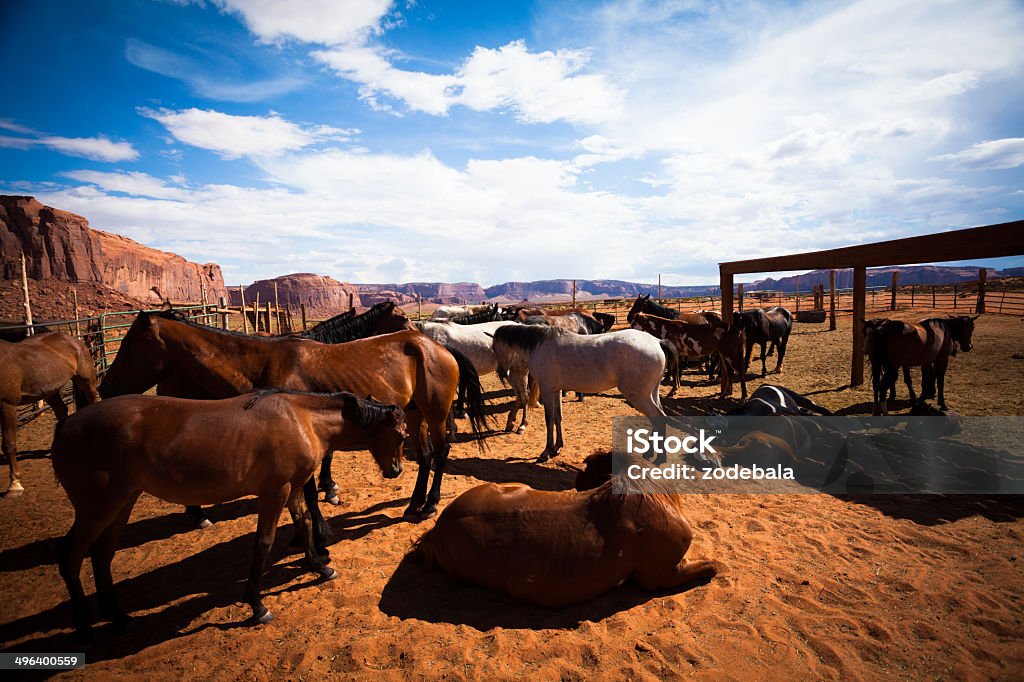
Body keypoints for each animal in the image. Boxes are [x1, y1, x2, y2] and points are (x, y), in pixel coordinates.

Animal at [0, 333, 98, 497]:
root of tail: (72, 339)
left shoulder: (7, 406)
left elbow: (9, 444)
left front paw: (15, 485)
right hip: (50, 391)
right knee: (62, 411)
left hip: (86, 381)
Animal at [51, 387, 403, 638]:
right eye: (401, 435)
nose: (396, 470)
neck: (301, 419)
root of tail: (67, 424)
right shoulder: (275, 492)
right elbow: (264, 543)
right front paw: (257, 606)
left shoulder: (293, 489)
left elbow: (304, 526)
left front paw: (321, 568)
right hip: (98, 507)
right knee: (71, 555)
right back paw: (83, 623)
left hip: (121, 504)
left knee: (101, 556)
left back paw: (120, 618)